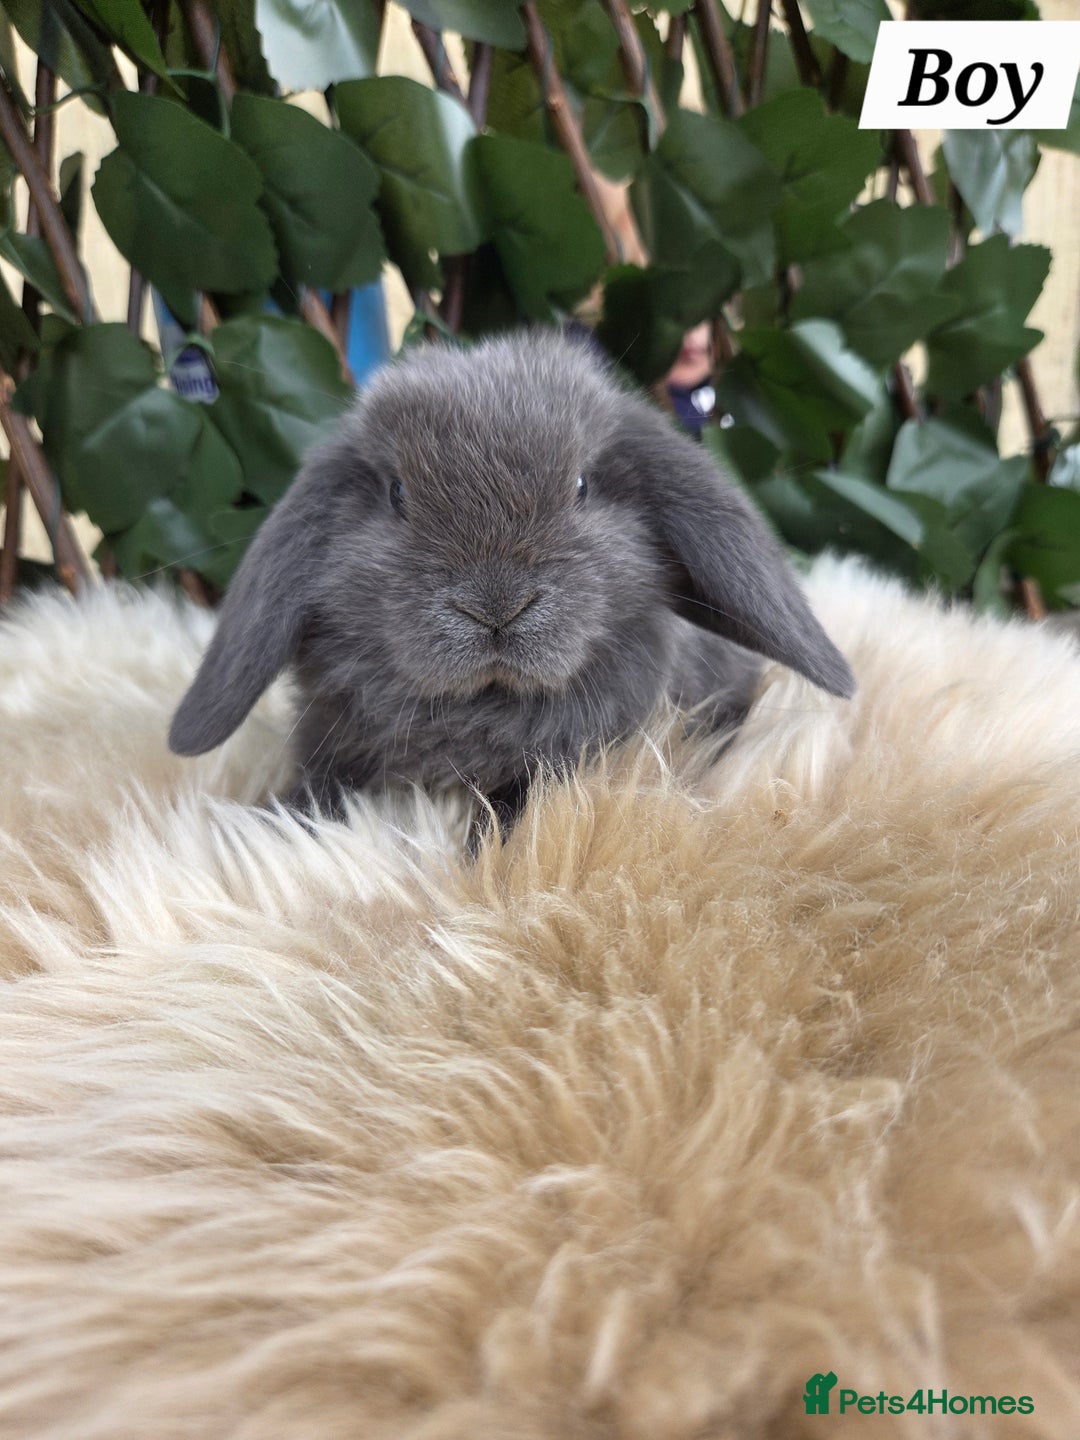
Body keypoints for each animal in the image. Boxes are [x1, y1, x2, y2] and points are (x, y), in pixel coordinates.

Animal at [169, 329, 855, 832]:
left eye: (581, 486)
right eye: (397, 493)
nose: (496, 606)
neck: (480, 705)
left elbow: (520, 801)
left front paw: (487, 843)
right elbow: (316, 789)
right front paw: (266, 821)